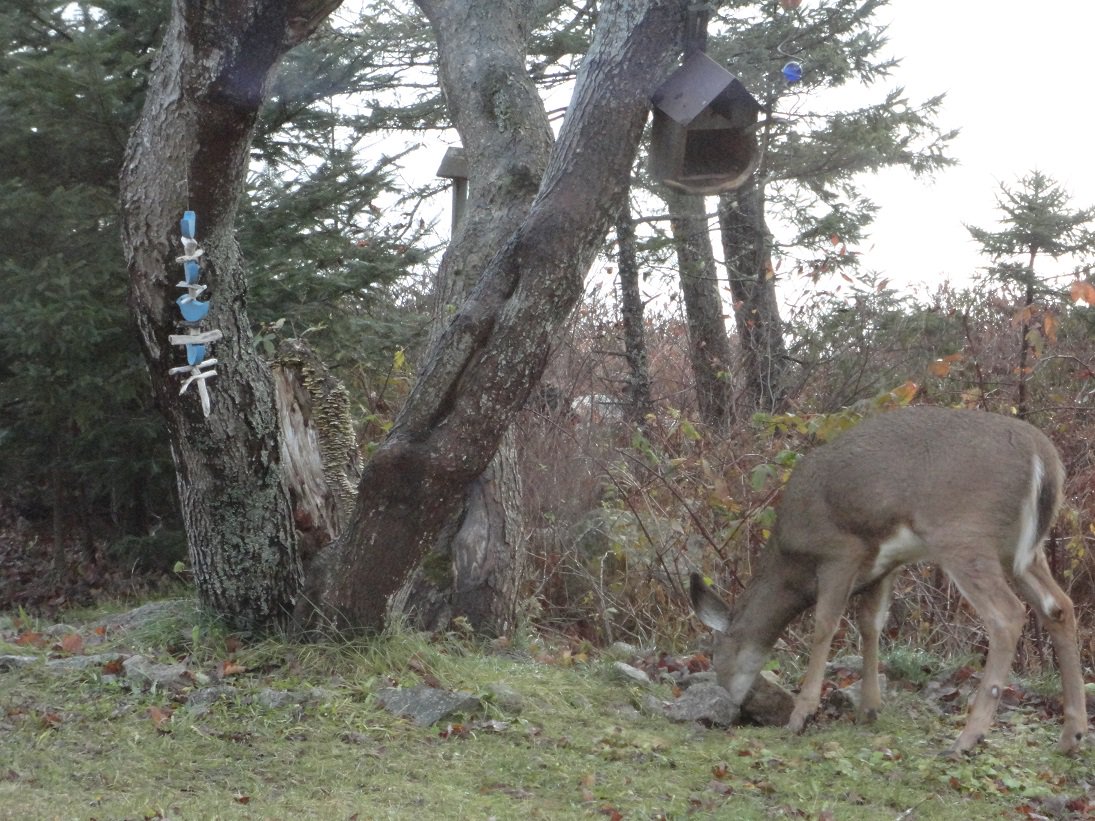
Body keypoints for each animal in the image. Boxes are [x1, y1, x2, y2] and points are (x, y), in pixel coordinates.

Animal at [690, 405, 1088, 755]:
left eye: (716, 654)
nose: (728, 702)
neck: (792, 561)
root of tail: (1044, 458)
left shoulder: (840, 551)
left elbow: (825, 625)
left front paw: (801, 715)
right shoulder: (885, 565)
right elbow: (871, 625)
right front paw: (868, 709)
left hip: (963, 535)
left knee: (1007, 615)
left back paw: (967, 739)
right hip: (1022, 553)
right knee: (1060, 607)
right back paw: (1072, 735)